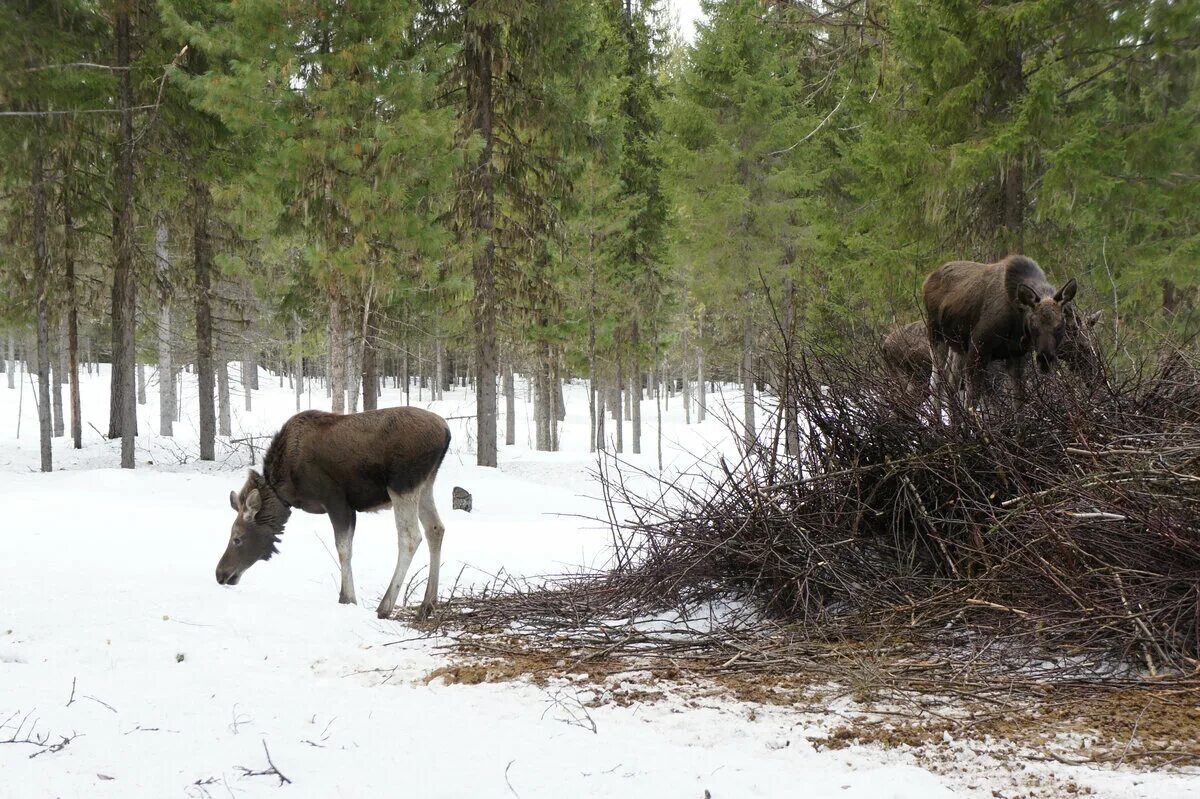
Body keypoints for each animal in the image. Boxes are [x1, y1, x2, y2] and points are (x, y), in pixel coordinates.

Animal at [214, 407, 451, 619]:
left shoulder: (336, 501)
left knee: (410, 537)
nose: (220, 574)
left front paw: (347, 598)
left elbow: (343, 549)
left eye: (237, 538)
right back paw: (428, 604)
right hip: (425, 485)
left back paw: (385, 607)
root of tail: (446, 431)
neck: (285, 489)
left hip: (402, 485)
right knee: (435, 529)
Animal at [921, 253, 1084, 407]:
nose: (1045, 360)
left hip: (958, 347)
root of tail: (927, 279)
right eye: (1033, 325)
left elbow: (1018, 404)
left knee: (950, 385)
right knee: (936, 385)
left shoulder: (1017, 356)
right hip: (935, 336)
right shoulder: (978, 349)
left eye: (1060, 325)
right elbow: (972, 404)